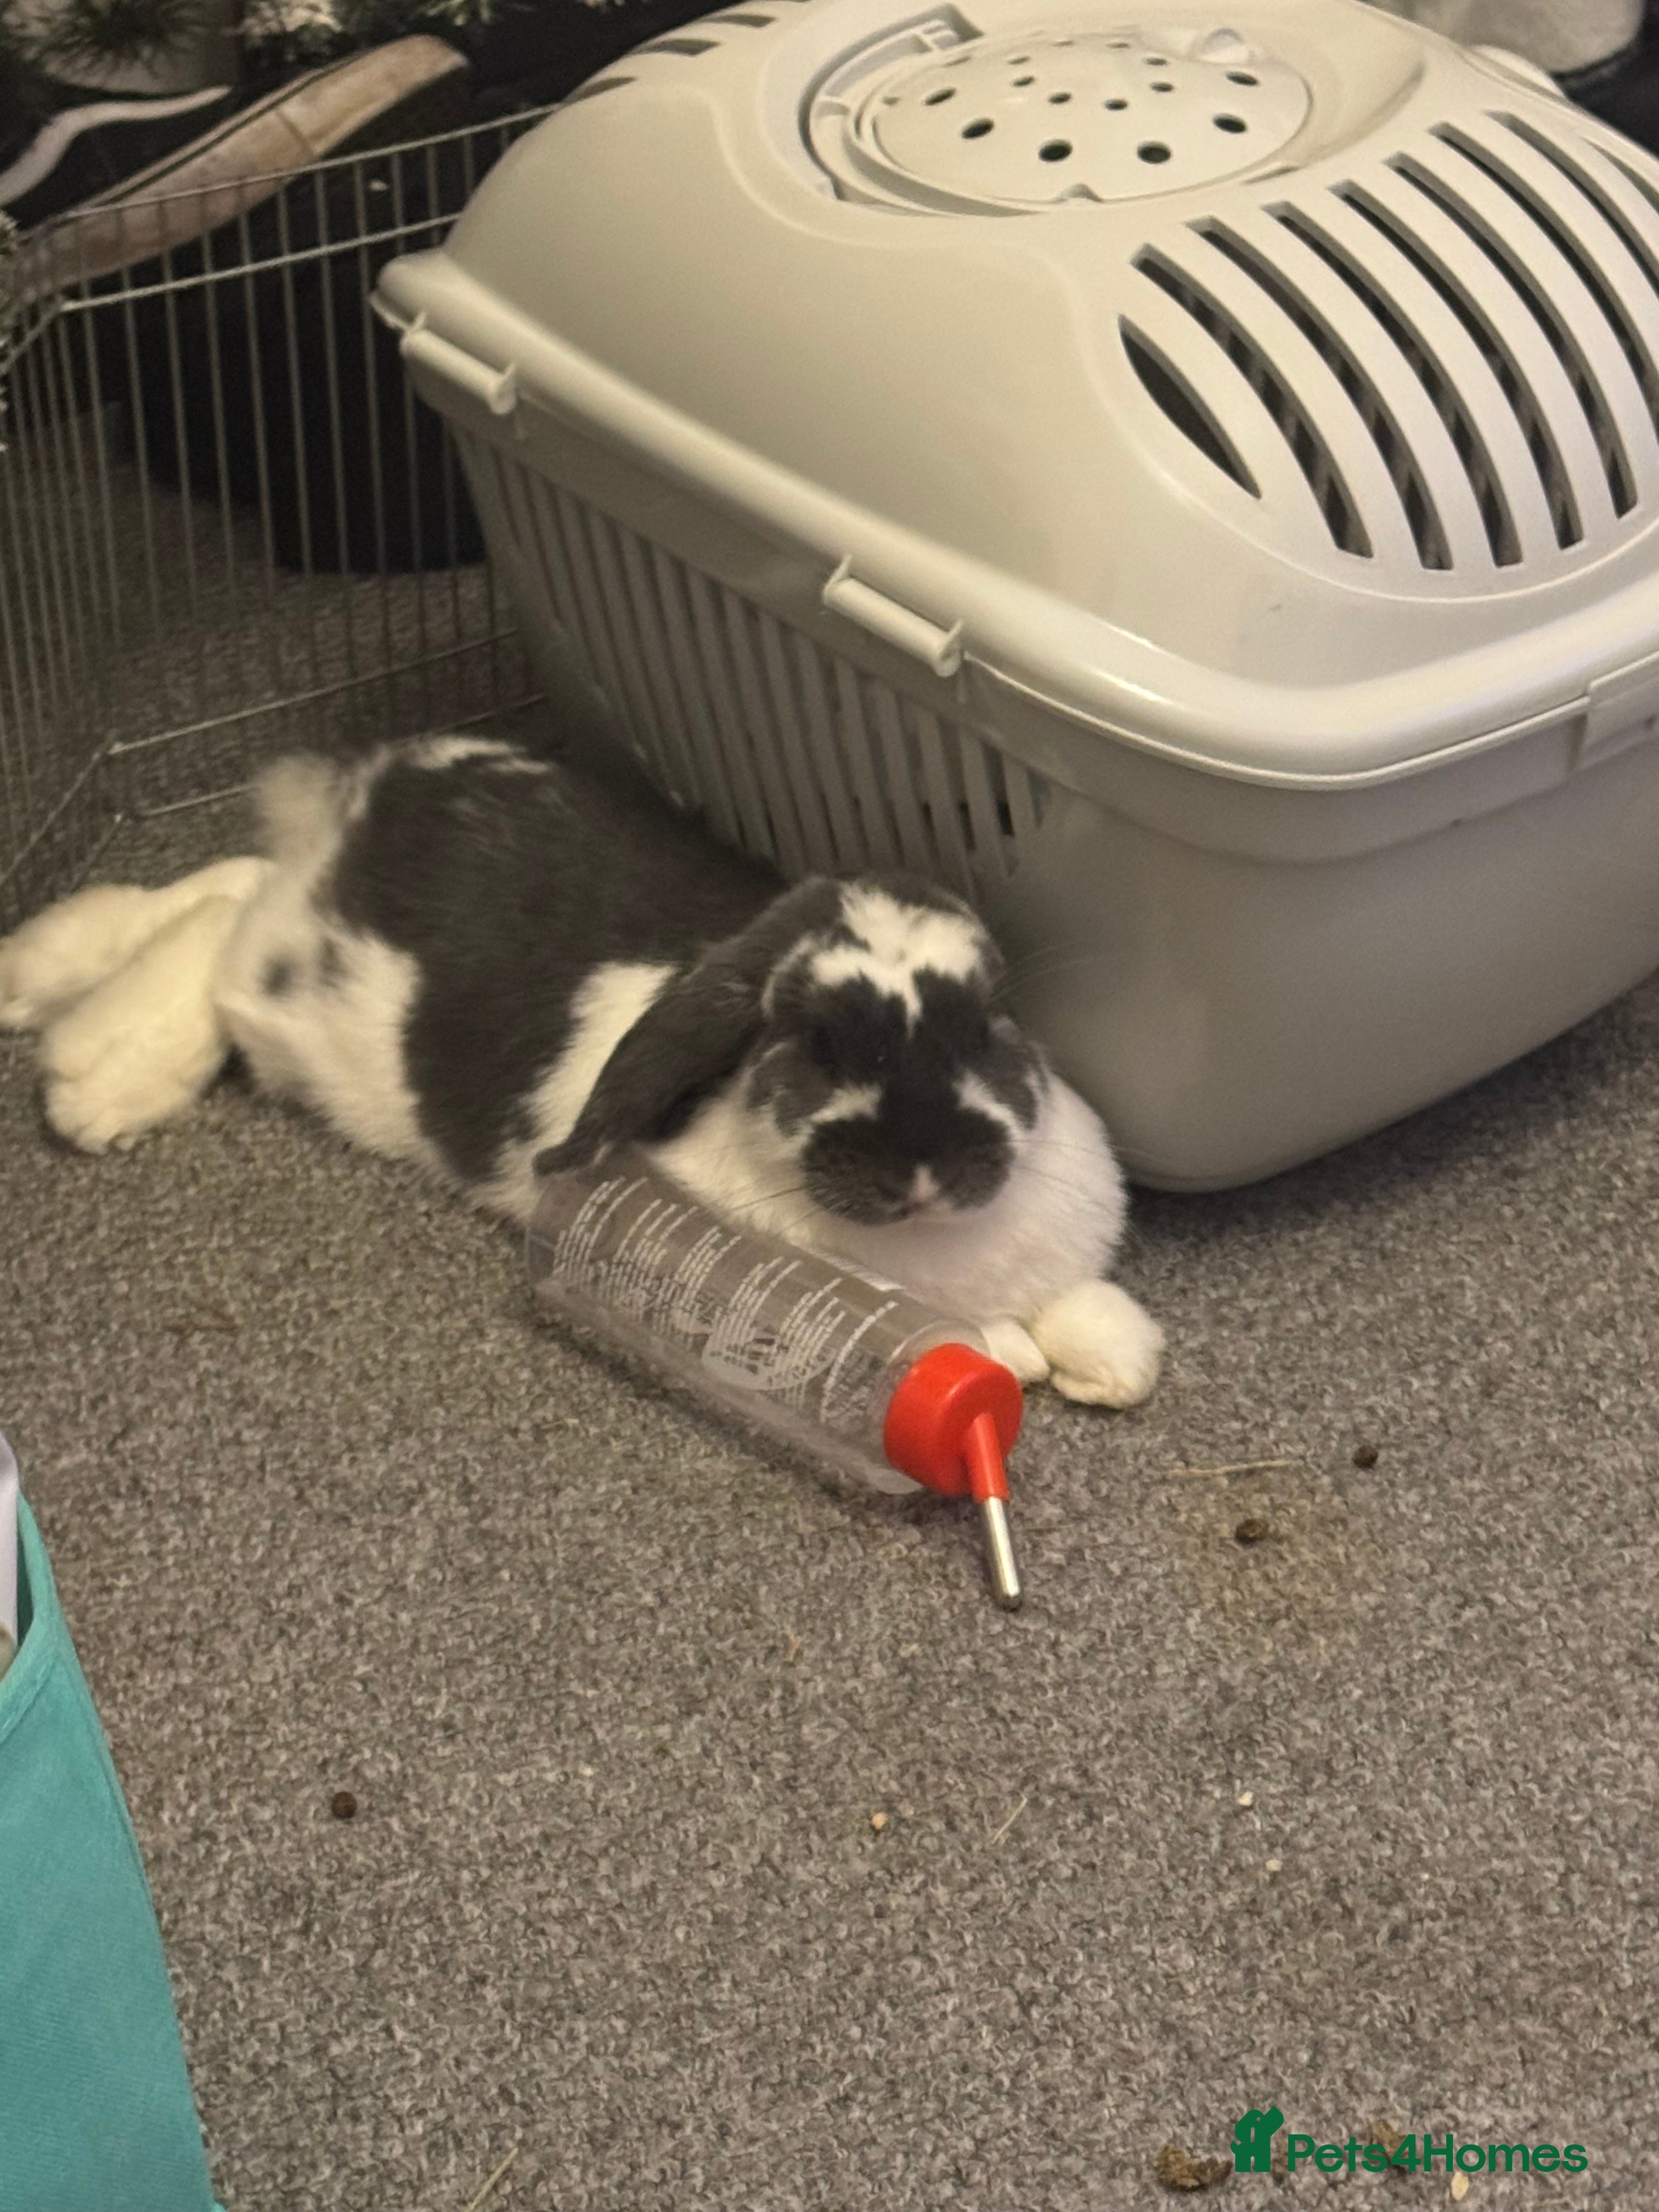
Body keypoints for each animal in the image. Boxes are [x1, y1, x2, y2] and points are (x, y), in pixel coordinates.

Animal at [0, 733, 1163, 1404]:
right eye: (811, 1042)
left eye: (991, 1021)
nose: (923, 1170)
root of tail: (389, 783)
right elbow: (994, 1343)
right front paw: (1026, 1356)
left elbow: (1080, 1305)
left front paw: (1113, 1361)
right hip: (296, 1004)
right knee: (222, 930)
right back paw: (92, 1075)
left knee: (229, 883)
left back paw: (39, 981)